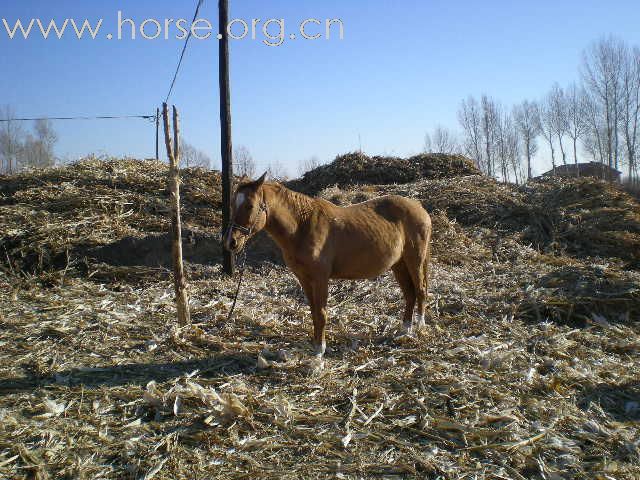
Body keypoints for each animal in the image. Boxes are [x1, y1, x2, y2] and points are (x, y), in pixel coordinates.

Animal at [222, 172, 432, 360]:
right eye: (232, 204)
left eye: (249, 205)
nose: (231, 242)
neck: (302, 227)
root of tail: (420, 207)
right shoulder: (304, 279)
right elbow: (314, 312)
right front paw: (316, 346)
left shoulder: (321, 278)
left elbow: (322, 313)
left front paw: (320, 351)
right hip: (399, 265)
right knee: (409, 294)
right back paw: (405, 329)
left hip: (415, 260)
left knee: (420, 289)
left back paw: (419, 326)